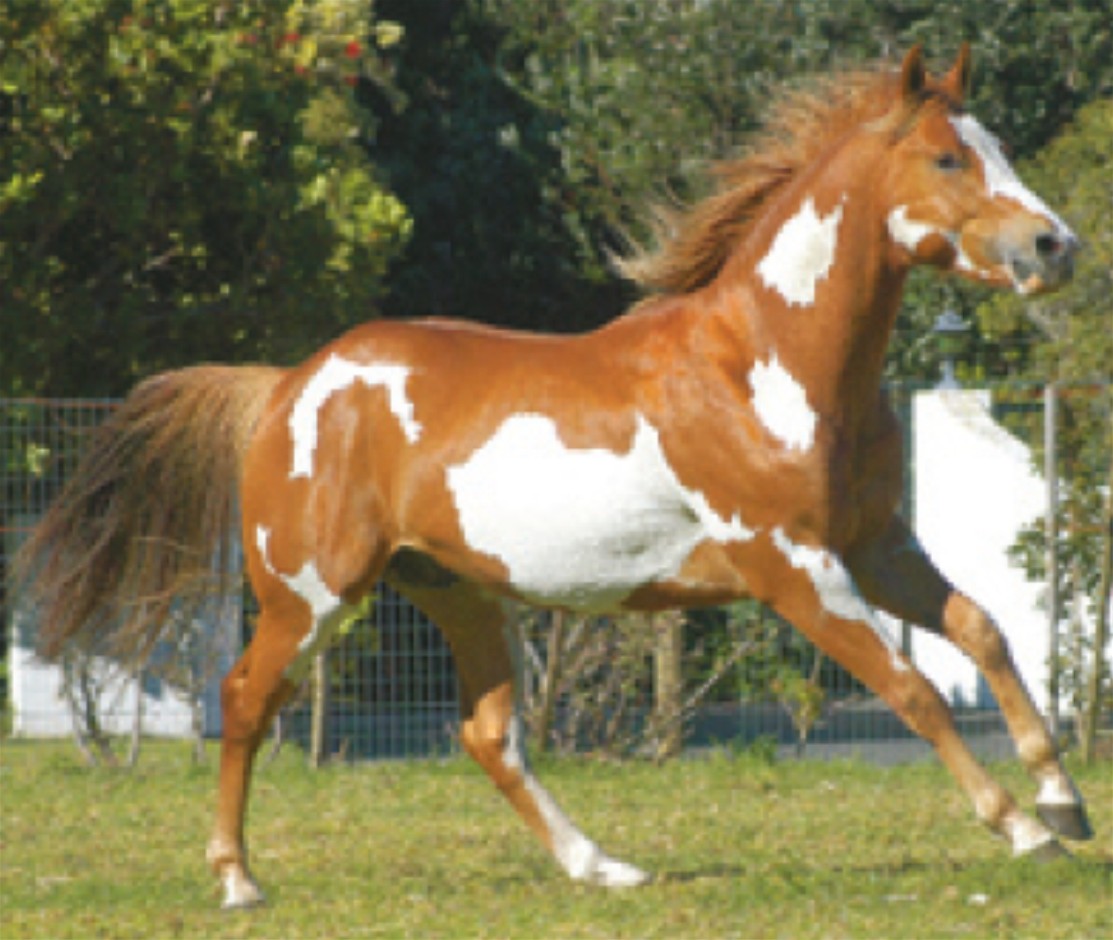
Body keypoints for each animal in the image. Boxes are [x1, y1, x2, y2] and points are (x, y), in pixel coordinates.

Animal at [21, 45, 1090, 907]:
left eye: (998, 146)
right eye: (947, 157)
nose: (1055, 246)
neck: (765, 365)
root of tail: (287, 384)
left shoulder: (873, 547)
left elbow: (981, 632)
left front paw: (1064, 800)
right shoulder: (792, 567)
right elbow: (911, 690)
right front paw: (1020, 828)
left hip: (460, 593)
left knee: (490, 735)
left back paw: (602, 867)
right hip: (312, 593)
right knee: (246, 699)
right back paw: (238, 880)